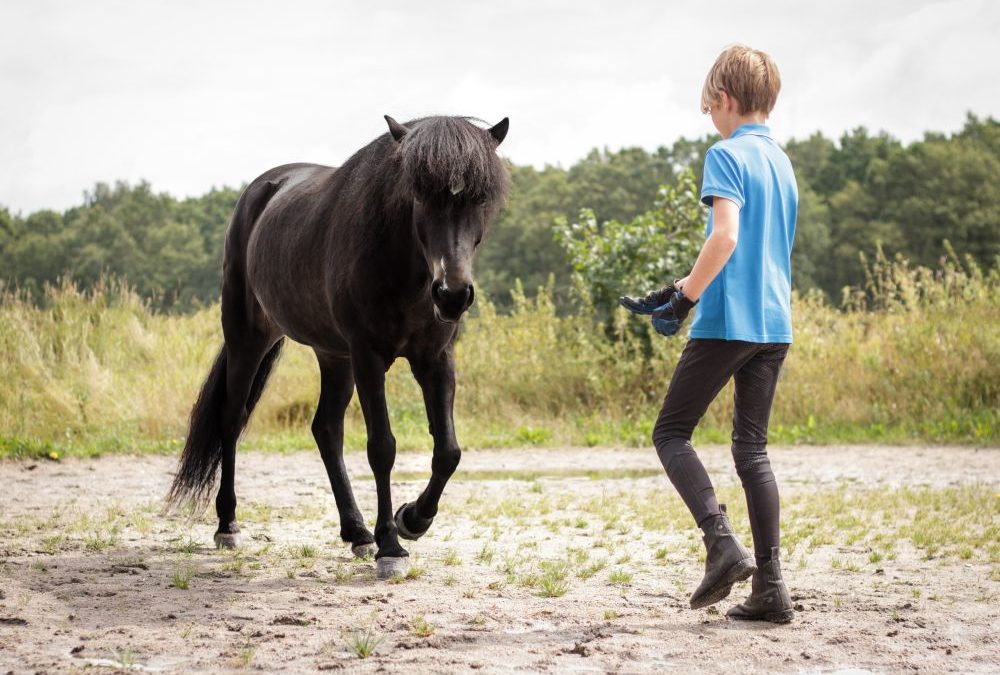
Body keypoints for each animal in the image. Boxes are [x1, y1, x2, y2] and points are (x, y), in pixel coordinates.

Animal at [170, 113, 508, 580]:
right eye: (420, 195)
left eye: (480, 198)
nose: (452, 295)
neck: (401, 266)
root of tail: (259, 192)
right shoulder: (368, 356)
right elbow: (382, 448)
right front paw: (390, 547)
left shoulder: (435, 360)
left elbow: (448, 451)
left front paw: (412, 520)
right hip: (248, 338)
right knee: (232, 419)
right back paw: (228, 525)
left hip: (333, 356)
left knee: (326, 429)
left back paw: (356, 532)